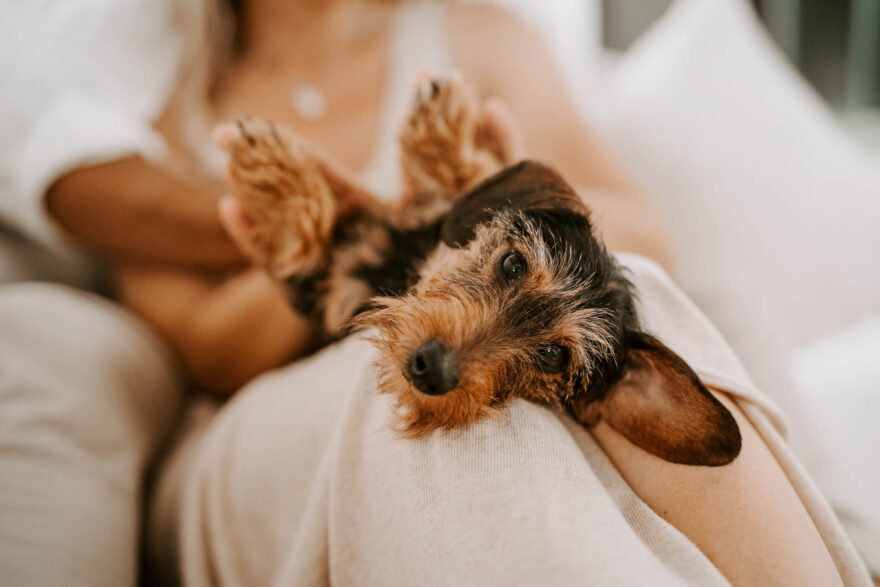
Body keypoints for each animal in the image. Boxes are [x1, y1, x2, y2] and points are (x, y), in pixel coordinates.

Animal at [221, 77, 741, 467]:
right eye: (513, 263)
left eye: (553, 356)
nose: (431, 370)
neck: (401, 269)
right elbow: (476, 178)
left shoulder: (325, 294)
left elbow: (310, 240)